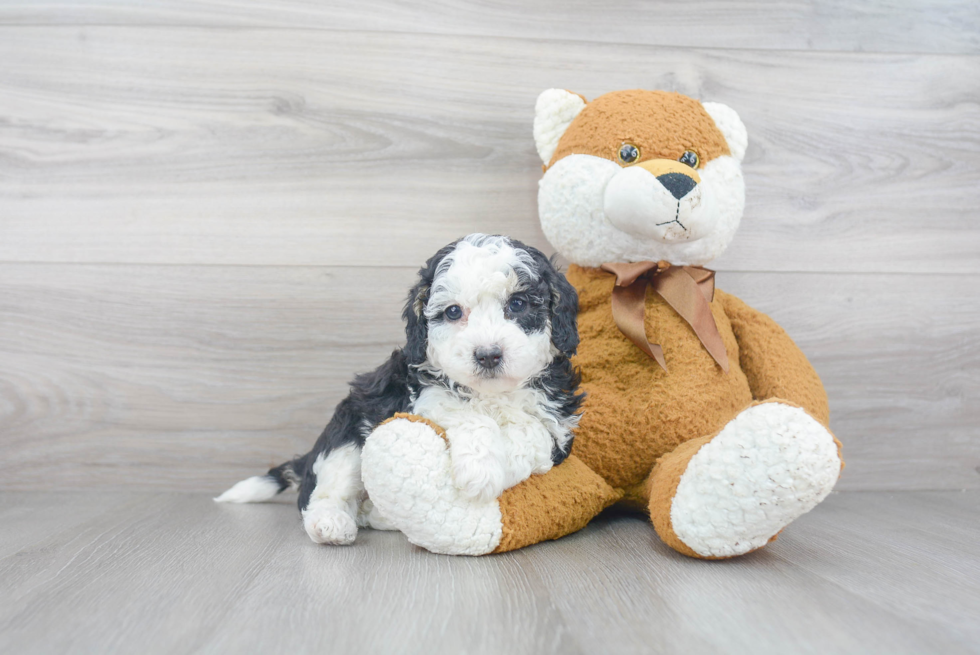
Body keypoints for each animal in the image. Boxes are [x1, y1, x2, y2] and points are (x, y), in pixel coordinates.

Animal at [215, 233, 580, 544]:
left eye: (518, 304)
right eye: (453, 312)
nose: (488, 354)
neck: (492, 393)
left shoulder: (558, 423)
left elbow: (529, 431)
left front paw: (491, 469)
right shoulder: (417, 394)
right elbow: (463, 409)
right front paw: (479, 468)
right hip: (347, 431)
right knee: (325, 489)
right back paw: (331, 523)